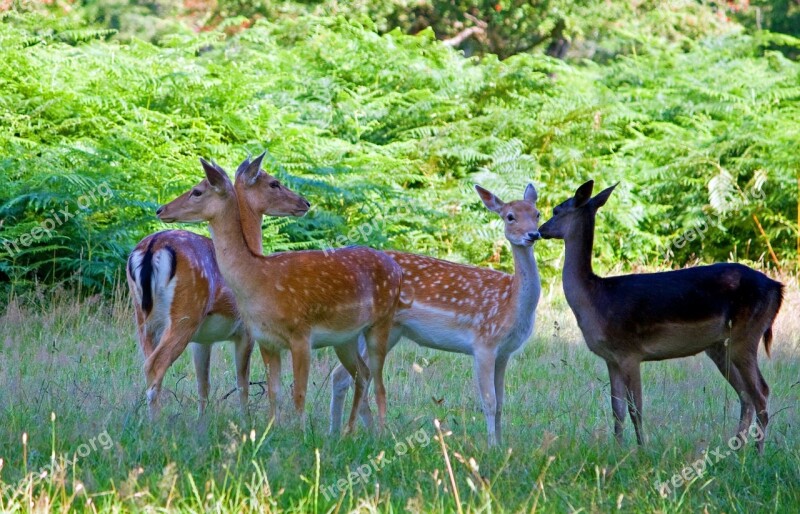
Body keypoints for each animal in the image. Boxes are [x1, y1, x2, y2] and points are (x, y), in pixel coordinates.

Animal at [125, 158, 310, 418]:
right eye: (275, 183)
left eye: (196, 189)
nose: (305, 203)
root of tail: (153, 246)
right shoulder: (246, 330)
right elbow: (242, 383)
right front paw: (245, 419)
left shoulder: (202, 340)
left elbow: (203, 385)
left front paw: (202, 421)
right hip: (186, 313)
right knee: (155, 364)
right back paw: (155, 422)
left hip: (142, 318)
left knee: (148, 363)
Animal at [155, 155, 406, 428]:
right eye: (274, 183)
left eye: (197, 191)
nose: (161, 209)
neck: (259, 278)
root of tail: (397, 270)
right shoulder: (265, 339)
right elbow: (274, 391)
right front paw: (271, 429)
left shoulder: (301, 333)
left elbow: (299, 393)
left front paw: (302, 433)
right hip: (346, 337)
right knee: (362, 374)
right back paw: (351, 431)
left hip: (382, 323)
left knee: (380, 385)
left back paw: (380, 432)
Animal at [328, 182, 540, 442]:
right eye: (510, 216)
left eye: (537, 214)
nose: (533, 235)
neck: (510, 304)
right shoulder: (484, 343)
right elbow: (489, 403)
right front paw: (492, 446)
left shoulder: (504, 352)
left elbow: (501, 403)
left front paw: (500, 445)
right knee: (352, 375)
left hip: (383, 331)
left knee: (343, 375)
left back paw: (337, 433)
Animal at [536, 178, 784, 450]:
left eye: (556, 210)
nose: (539, 230)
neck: (596, 300)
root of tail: (777, 289)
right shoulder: (611, 358)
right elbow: (617, 409)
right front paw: (618, 449)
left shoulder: (630, 352)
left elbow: (636, 409)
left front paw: (641, 449)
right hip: (721, 347)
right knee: (745, 395)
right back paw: (736, 450)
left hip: (746, 335)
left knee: (761, 392)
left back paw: (757, 452)